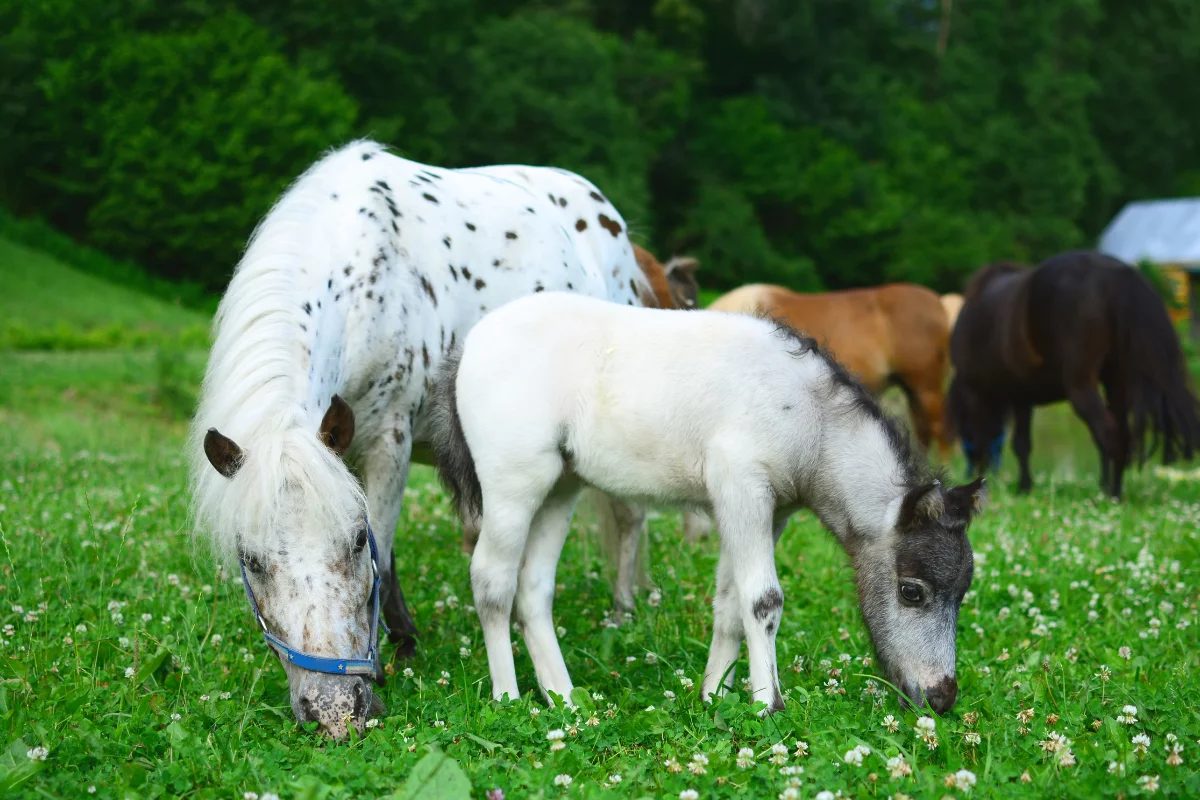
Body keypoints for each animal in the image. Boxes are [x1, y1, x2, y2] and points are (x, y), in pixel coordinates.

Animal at [189, 140, 651, 738]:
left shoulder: (389, 440)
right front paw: (404, 640)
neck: (363, 278)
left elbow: (384, 547)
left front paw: (395, 653)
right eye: (250, 559)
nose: (335, 712)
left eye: (353, 543)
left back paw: (622, 612)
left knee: (628, 518)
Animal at [948, 252, 1200, 498]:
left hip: (1080, 385)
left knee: (1109, 434)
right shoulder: (1022, 396)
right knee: (1118, 434)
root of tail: (1116, 277)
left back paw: (1113, 496)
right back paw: (1111, 490)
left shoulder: (982, 393)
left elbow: (994, 441)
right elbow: (1023, 443)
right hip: (1116, 382)